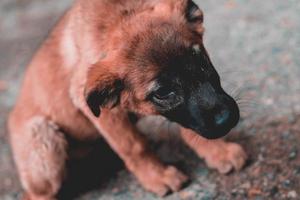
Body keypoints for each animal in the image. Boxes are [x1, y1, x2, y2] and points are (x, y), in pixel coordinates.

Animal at [8, 0, 247, 199]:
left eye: (201, 60)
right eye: (162, 92)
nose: (226, 119)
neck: (119, 17)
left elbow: (192, 126)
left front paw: (218, 152)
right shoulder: (100, 110)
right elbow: (134, 146)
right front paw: (158, 176)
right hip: (43, 138)